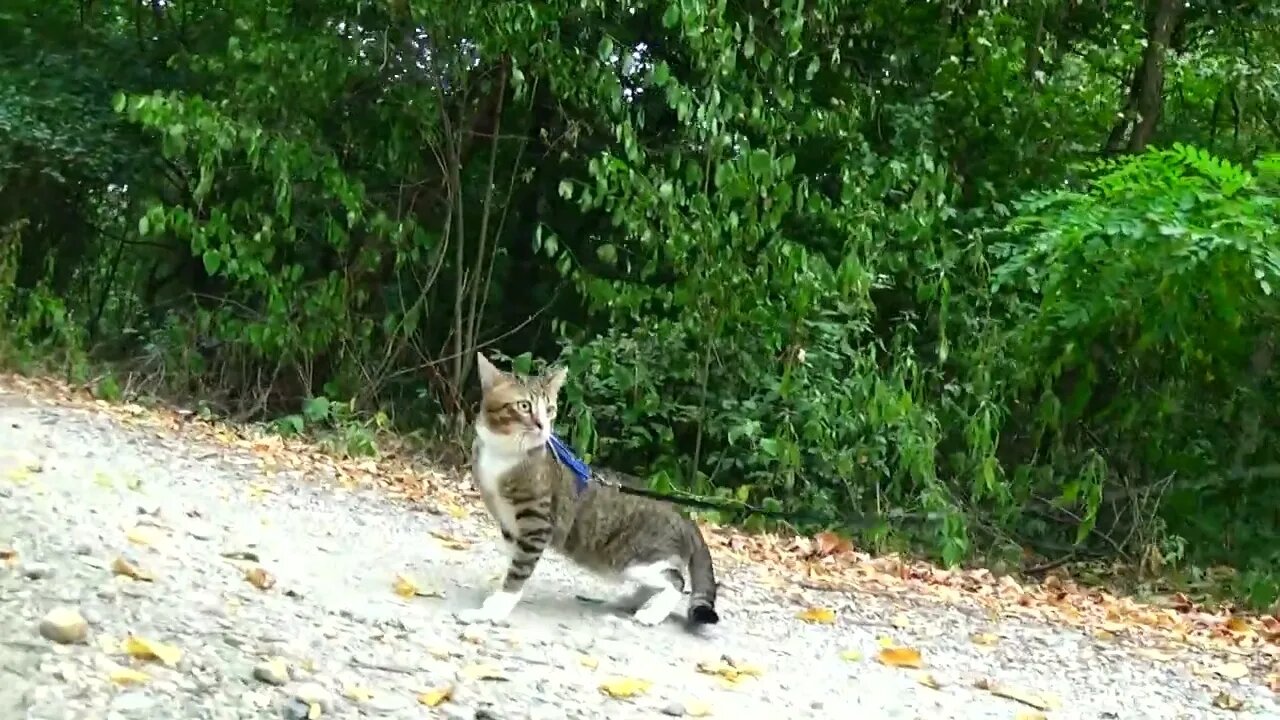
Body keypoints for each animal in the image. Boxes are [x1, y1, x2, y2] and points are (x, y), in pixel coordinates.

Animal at [458, 351, 721, 627]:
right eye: (524, 406)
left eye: (549, 409)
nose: (543, 426)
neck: (504, 452)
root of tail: (685, 516)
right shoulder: (510, 527)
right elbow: (511, 562)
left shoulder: (536, 524)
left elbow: (519, 570)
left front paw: (492, 610)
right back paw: (628, 602)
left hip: (634, 559)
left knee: (676, 581)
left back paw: (651, 613)